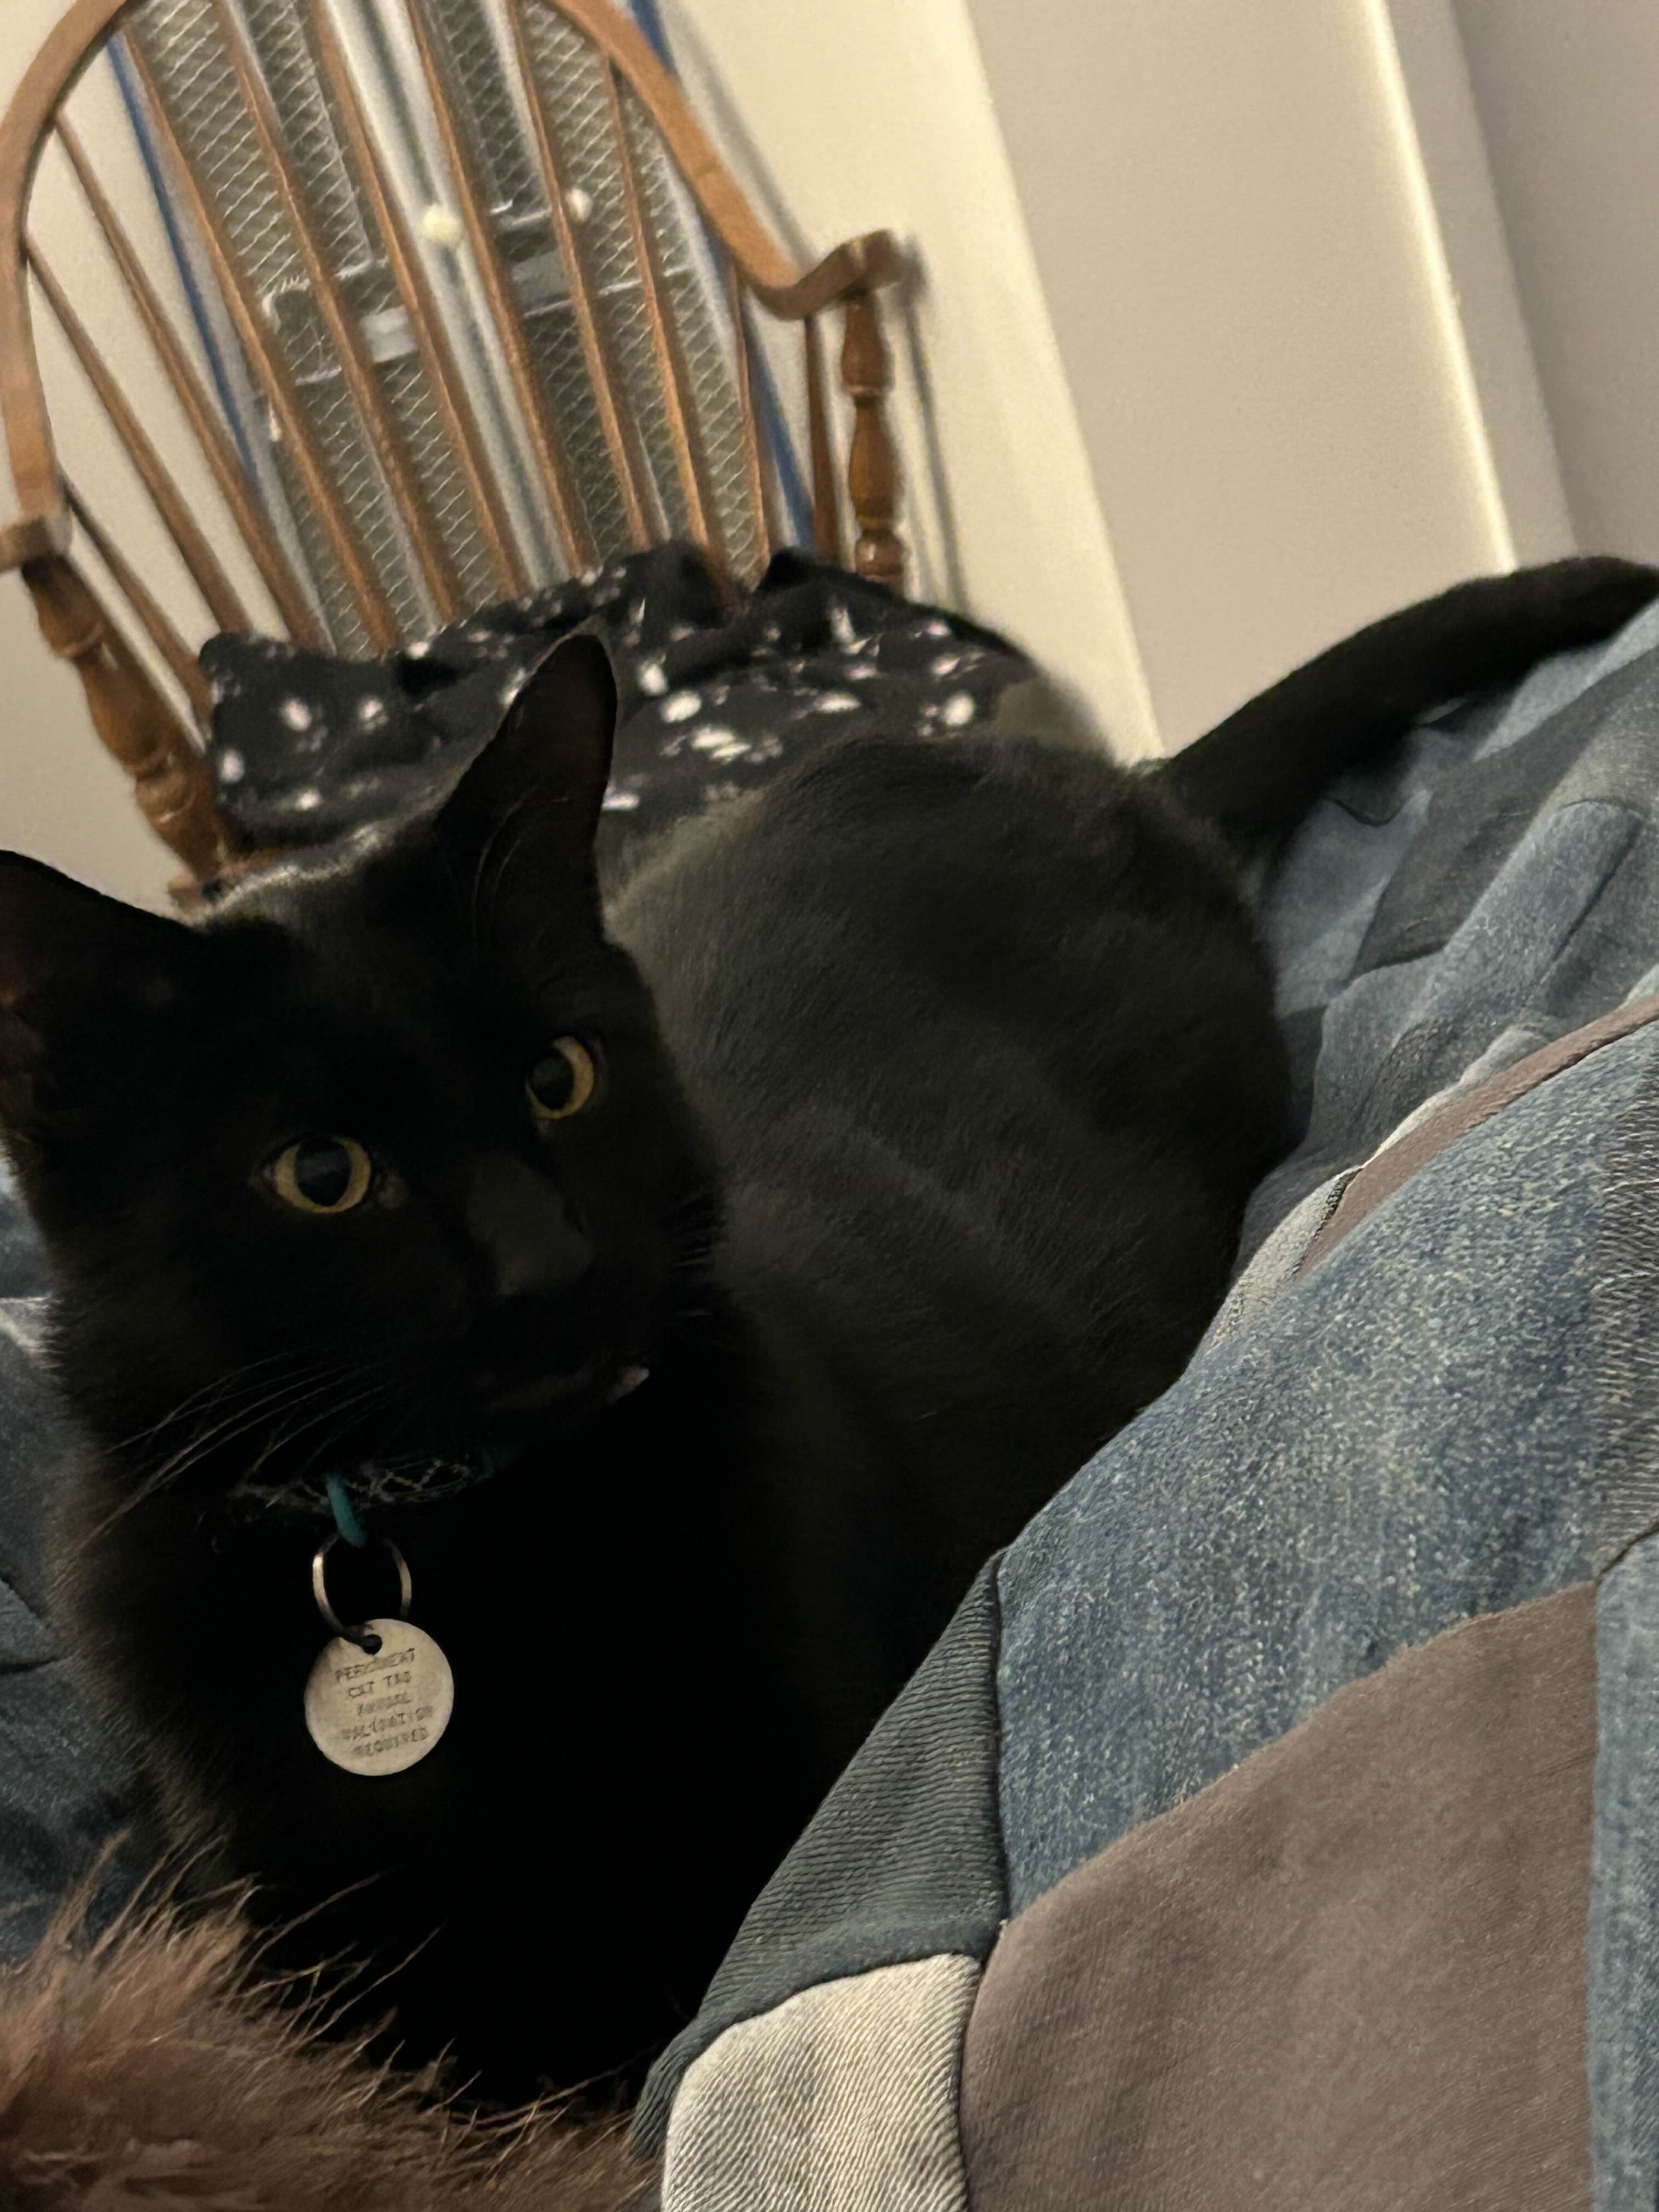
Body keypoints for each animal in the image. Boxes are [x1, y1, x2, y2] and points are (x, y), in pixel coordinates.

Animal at [6, 557, 1654, 2106]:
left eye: (557, 1078)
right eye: (321, 1176)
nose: (550, 1263)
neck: (460, 1537)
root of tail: (1095, 775)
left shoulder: (765, 1840)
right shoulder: (304, 1981)